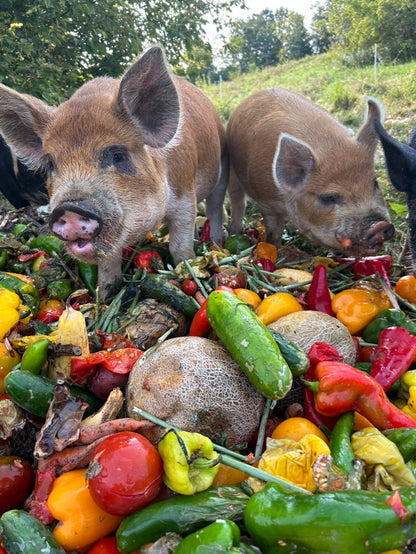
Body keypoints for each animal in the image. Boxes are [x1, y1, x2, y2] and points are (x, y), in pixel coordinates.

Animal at [0, 46, 228, 298]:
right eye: (50, 164)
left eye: (118, 155)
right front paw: (105, 296)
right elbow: (108, 264)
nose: (69, 208)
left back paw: (216, 241)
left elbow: (180, 246)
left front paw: (187, 269)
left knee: (215, 208)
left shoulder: (184, 192)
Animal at [228, 88, 394, 254]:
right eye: (329, 198)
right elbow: (273, 232)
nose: (379, 226)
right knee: (238, 201)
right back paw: (233, 232)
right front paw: (274, 248)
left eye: (375, 183)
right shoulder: (266, 201)